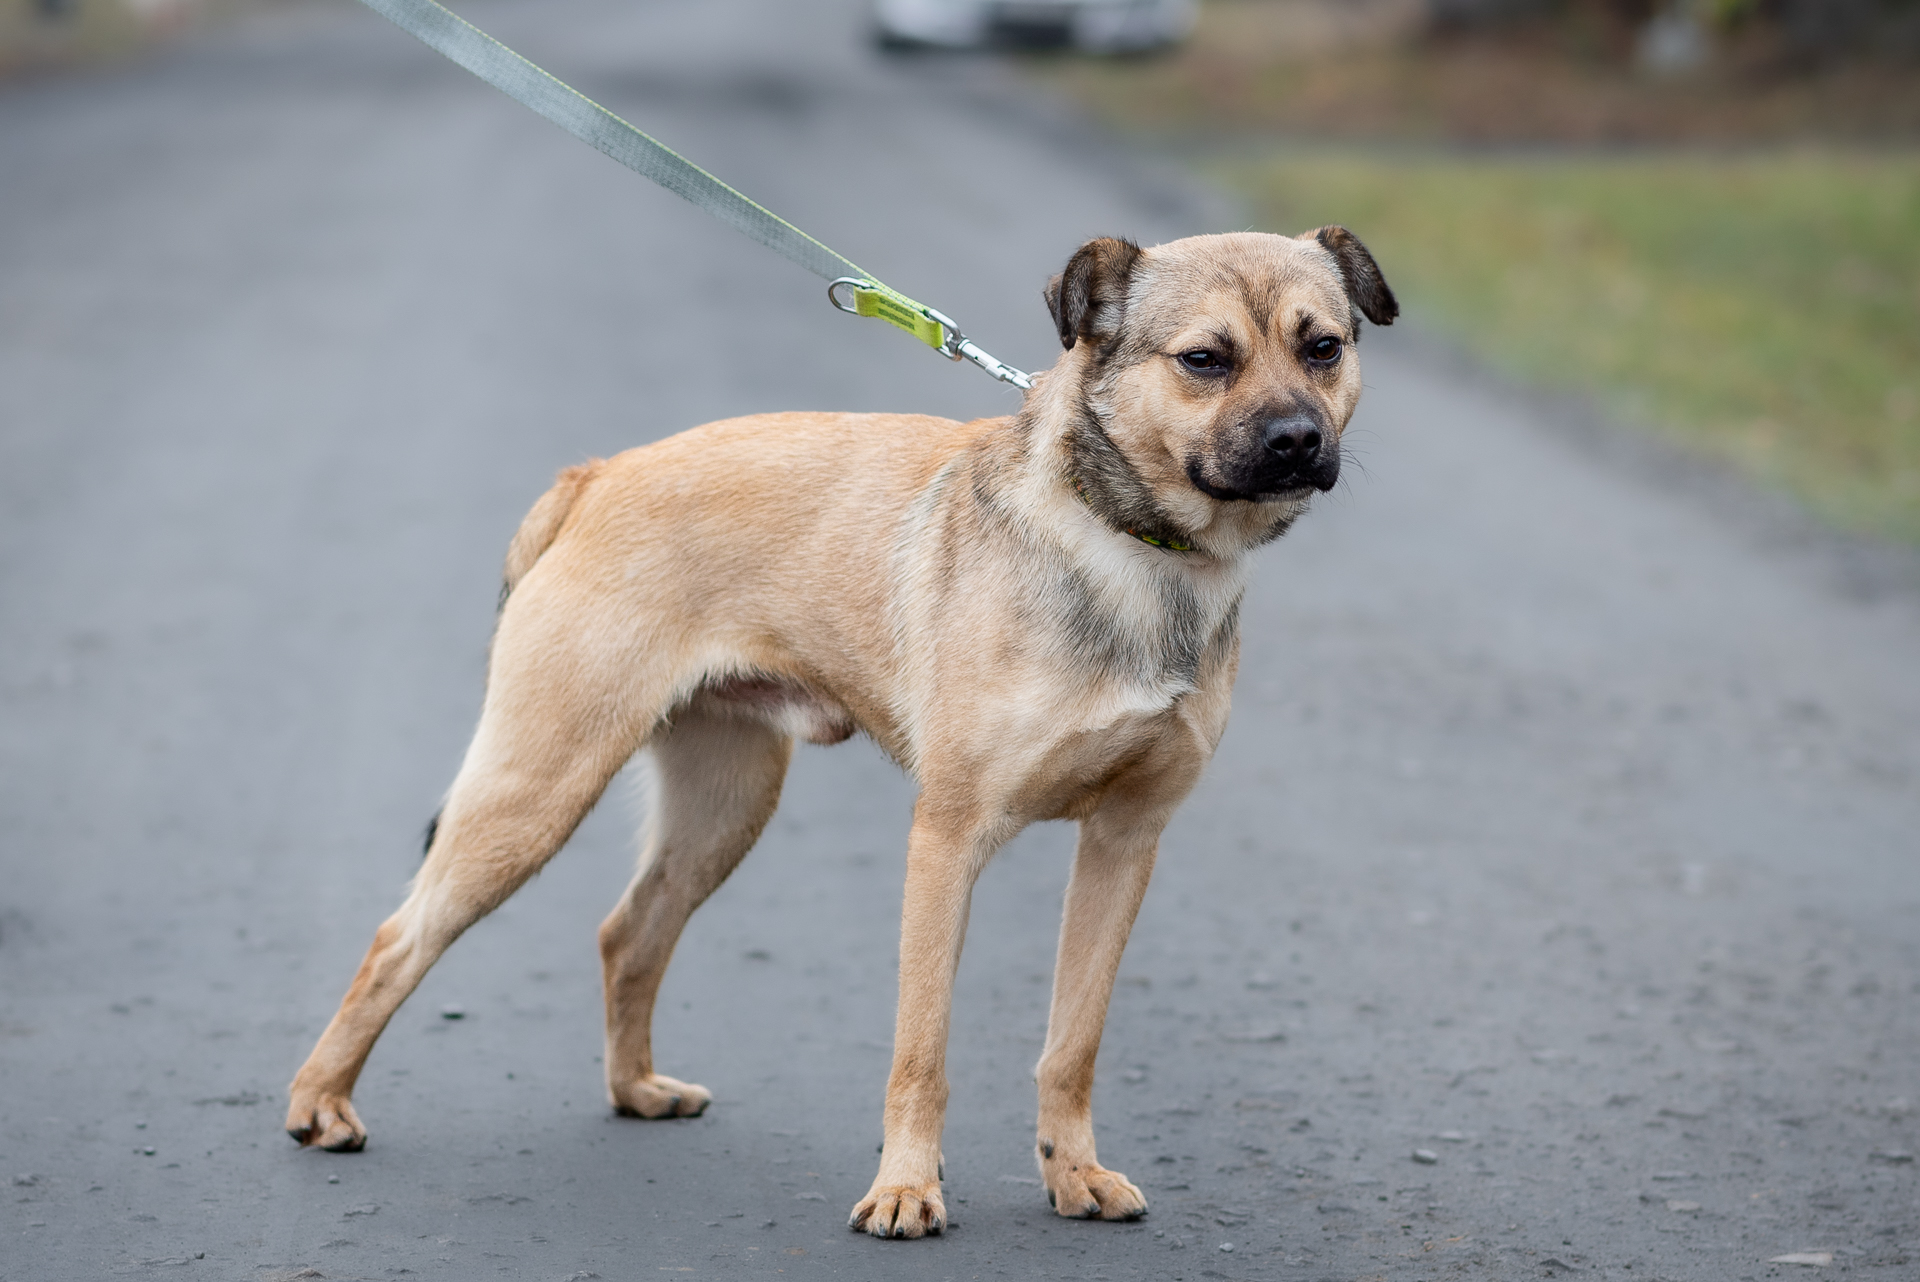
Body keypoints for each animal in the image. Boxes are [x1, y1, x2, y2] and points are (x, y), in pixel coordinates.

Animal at [284, 230, 1397, 1243]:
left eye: (1324, 347)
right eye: (1204, 359)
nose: (1298, 439)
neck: (1127, 544)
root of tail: (599, 474)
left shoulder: (1124, 844)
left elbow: (1071, 1042)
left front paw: (1071, 1171)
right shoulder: (947, 843)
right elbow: (922, 1049)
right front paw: (907, 1190)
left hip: (723, 809)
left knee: (629, 933)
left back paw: (635, 1088)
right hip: (537, 790)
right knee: (398, 938)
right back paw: (320, 1103)